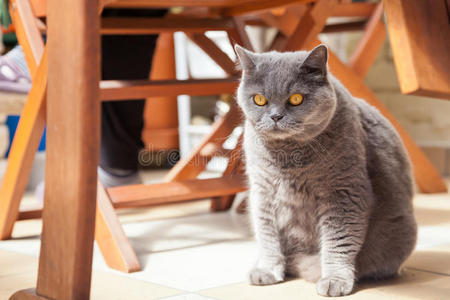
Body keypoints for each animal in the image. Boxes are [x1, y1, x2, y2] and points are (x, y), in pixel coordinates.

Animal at [237, 44, 416, 298]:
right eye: (259, 99)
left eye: (296, 99)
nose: (275, 116)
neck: (289, 158)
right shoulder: (262, 191)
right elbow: (266, 234)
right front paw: (267, 270)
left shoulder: (344, 192)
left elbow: (338, 241)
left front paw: (334, 280)